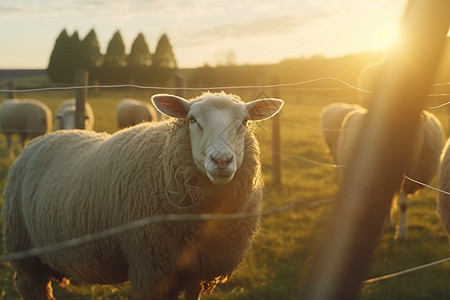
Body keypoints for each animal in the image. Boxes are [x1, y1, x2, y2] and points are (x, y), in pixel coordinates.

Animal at [3, 91, 284, 300]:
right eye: (192, 120)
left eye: (245, 122)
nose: (222, 160)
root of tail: (42, 139)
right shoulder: (153, 271)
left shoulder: (196, 270)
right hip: (23, 249)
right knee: (30, 284)